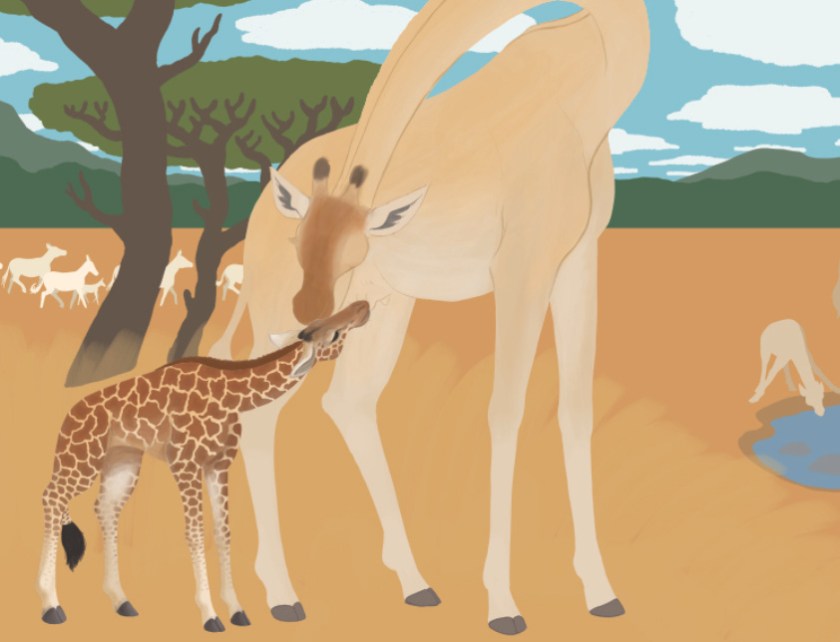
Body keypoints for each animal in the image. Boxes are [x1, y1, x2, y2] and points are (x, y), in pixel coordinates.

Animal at [37, 301, 370, 632]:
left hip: (123, 460)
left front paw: (237, 610)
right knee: (52, 497)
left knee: (105, 509)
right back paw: (52, 606)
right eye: (334, 333)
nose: (362, 306)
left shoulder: (218, 464)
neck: (230, 395)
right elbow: (195, 533)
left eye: (327, 320)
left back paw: (122, 601)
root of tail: (67, 419)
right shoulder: (185, 463)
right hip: (80, 460)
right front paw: (210, 615)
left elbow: (223, 533)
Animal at [209, 0, 649, 634]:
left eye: (354, 247)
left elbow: (574, 412)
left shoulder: (575, 264)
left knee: (348, 402)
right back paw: (283, 596)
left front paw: (601, 593)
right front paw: (504, 606)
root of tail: (261, 206)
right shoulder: (521, 271)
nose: (310, 316)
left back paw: (415, 584)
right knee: (265, 414)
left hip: (385, 309)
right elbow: (506, 413)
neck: (580, 91)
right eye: (303, 243)